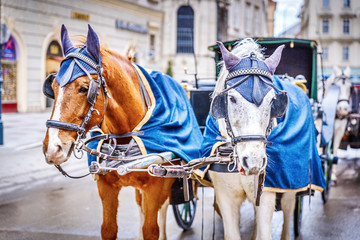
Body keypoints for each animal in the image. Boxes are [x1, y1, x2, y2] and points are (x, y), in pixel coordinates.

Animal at [43, 24, 176, 240]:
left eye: (84, 88)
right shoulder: (106, 187)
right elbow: (108, 228)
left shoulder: (155, 186)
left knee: (162, 206)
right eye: (52, 88)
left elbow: (151, 229)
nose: (53, 148)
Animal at [210, 39, 308, 240]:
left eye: (273, 101)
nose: (254, 162)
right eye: (231, 98)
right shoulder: (225, 197)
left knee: (288, 208)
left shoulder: (267, 194)